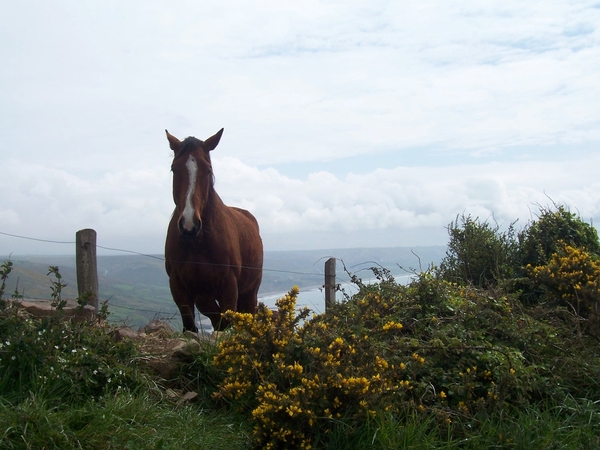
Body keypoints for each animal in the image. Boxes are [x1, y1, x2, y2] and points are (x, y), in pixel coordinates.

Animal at [164, 128, 262, 332]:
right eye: (174, 168)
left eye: (208, 170)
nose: (189, 224)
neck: (198, 243)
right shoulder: (179, 287)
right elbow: (191, 325)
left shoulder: (229, 287)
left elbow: (226, 323)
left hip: (250, 293)